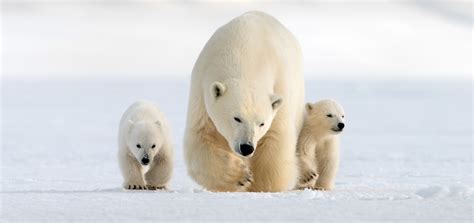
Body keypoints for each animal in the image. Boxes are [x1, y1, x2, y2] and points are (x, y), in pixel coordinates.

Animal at [183, 10, 306, 192]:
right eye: (237, 118)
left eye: (261, 123)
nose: (247, 147)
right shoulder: (201, 87)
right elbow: (202, 137)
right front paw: (240, 176)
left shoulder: (280, 85)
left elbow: (276, 138)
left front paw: (259, 185)